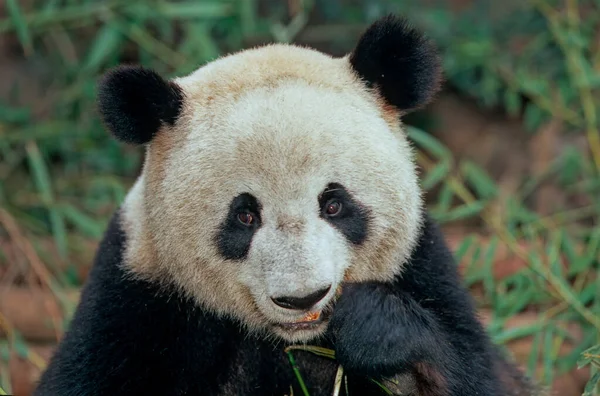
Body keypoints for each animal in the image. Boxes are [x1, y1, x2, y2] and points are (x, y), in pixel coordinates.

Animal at [35, 14, 536, 396]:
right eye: (244, 215)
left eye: (334, 205)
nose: (303, 298)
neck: (293, 339)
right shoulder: (137, 299)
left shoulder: (423, 265)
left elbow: (477, 373)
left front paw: (376, 332)